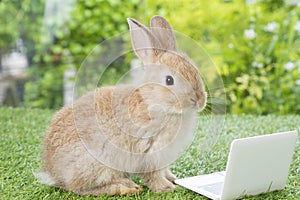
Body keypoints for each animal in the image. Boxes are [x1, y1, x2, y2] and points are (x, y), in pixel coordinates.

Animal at [36, 15, 206, 195]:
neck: (152, 101)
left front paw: (173, 178)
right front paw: (166, 188)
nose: (198, 100)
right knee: (81, 188)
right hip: (98, 163)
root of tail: (53, 173)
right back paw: (125, 187)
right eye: (169, 80)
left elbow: (164, 170)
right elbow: (152, 175)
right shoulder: (148, 152)